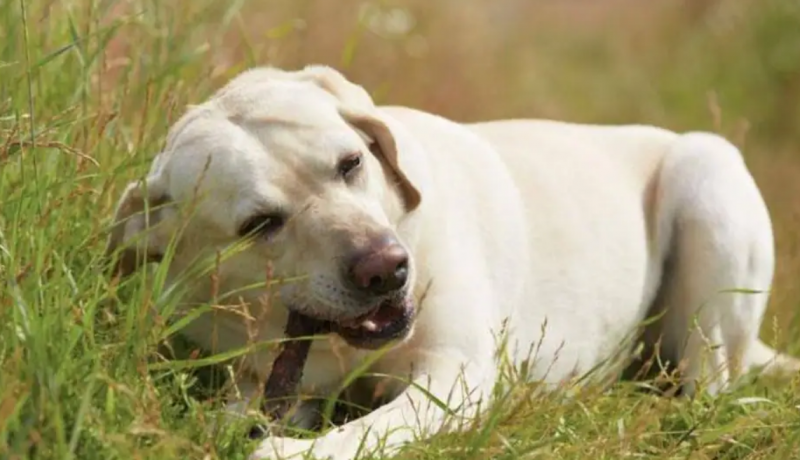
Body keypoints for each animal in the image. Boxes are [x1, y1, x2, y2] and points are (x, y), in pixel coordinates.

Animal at [108, 65, 800, 460]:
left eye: (350, 164)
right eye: (261, 225)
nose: (387, 268)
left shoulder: (453, 375)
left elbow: (356, 435)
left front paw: (284, 452)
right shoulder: (268, 381)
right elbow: (235, 414)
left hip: (706, 173)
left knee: (707, 383)